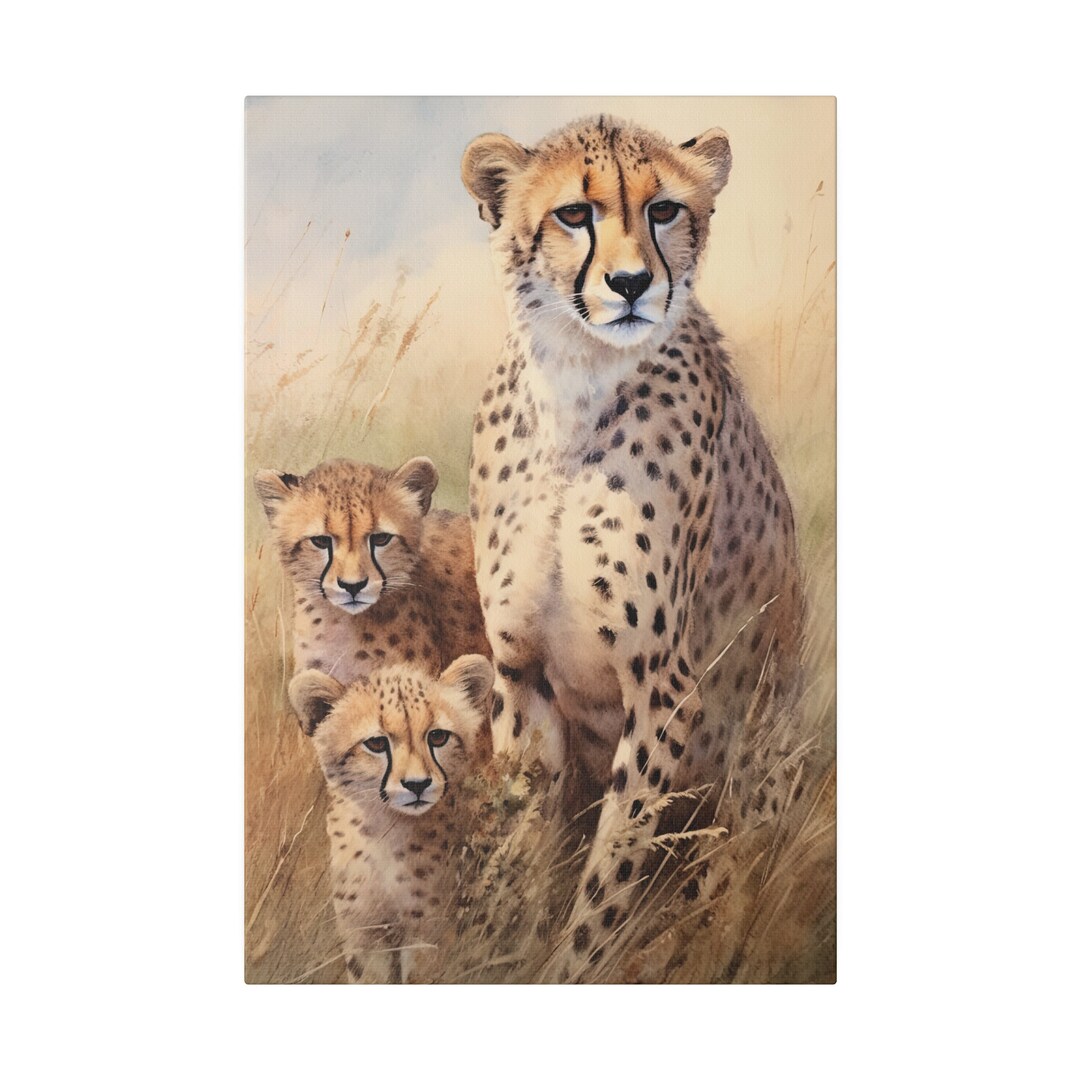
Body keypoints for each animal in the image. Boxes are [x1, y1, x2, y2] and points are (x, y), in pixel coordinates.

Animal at [289, 654, 495, 983]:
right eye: (375, 743)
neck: (385, 830)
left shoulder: (428, 932)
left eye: (438, 736)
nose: (417, 784)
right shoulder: (365, 932)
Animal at [461, 115, 808, 979]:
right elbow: (524, 849)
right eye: (573, 215)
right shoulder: (521, 675)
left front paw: (570, 965)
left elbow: (611, 871)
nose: (628, 285)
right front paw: (502, 954)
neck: (574, 387)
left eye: (664, 210)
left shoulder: (663, 687)